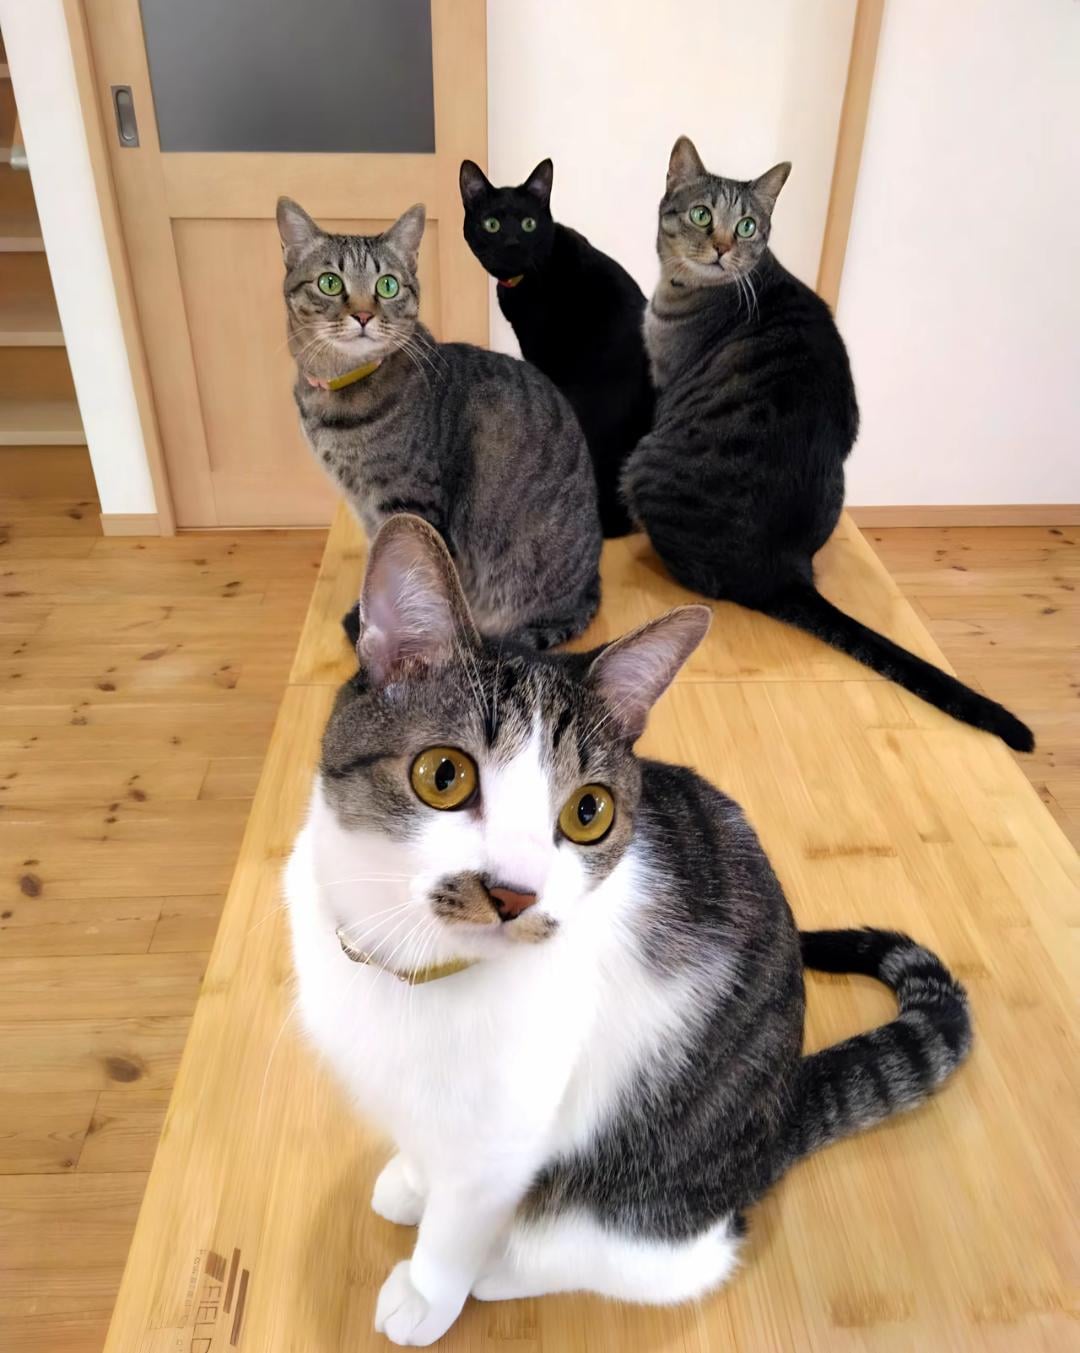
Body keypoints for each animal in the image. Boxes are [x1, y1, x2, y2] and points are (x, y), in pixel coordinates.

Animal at [277, 198, 602, 649]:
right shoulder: (367, 508)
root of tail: (591, 586)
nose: (363, 315)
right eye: (329, 283)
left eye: (387, 286)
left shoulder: (409, 501)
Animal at [285, 512, 972, 1347]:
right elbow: (421, 1142)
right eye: (443, 775)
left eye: (589, 812)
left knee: (669, 1258)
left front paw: (429, 1287)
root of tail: (779, 1112)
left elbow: (460, 1221)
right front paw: (412, 1181)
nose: (513, 893)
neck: (408, 963)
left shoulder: (505, 1136)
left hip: (645, 1182)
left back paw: (503, 1267)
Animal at [621, 136, 1034, 753]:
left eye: (746, 226)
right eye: (701, 215)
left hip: (642, 463)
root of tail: (784, 569)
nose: (721, 247)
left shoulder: (663, 382)